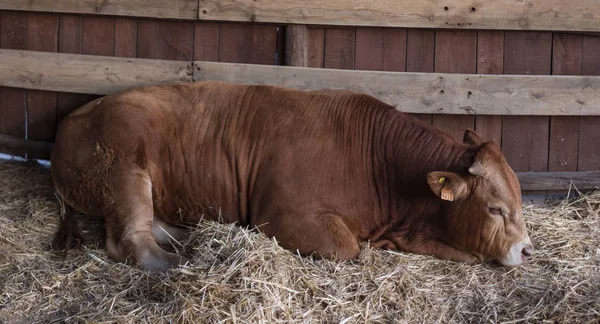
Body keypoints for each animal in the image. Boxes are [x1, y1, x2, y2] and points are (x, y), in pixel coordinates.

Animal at [51, 81, 536, 270]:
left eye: (519, 201)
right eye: (495, 209)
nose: (528, 250)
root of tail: (73, 117)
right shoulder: (285, 215)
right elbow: (347, 248)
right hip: (124, 168)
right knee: (129, 240)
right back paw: (181, 262)